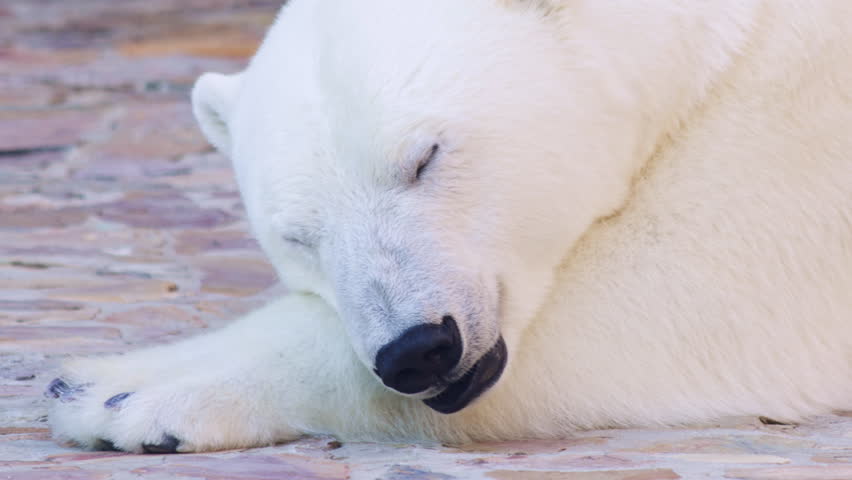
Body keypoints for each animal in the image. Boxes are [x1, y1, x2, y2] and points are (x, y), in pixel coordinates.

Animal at [47, 0, 852, 453]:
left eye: (424, 158)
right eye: (298, 236)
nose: (417, 350)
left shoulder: (798, 117)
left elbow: (696, 289)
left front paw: (118, 394)